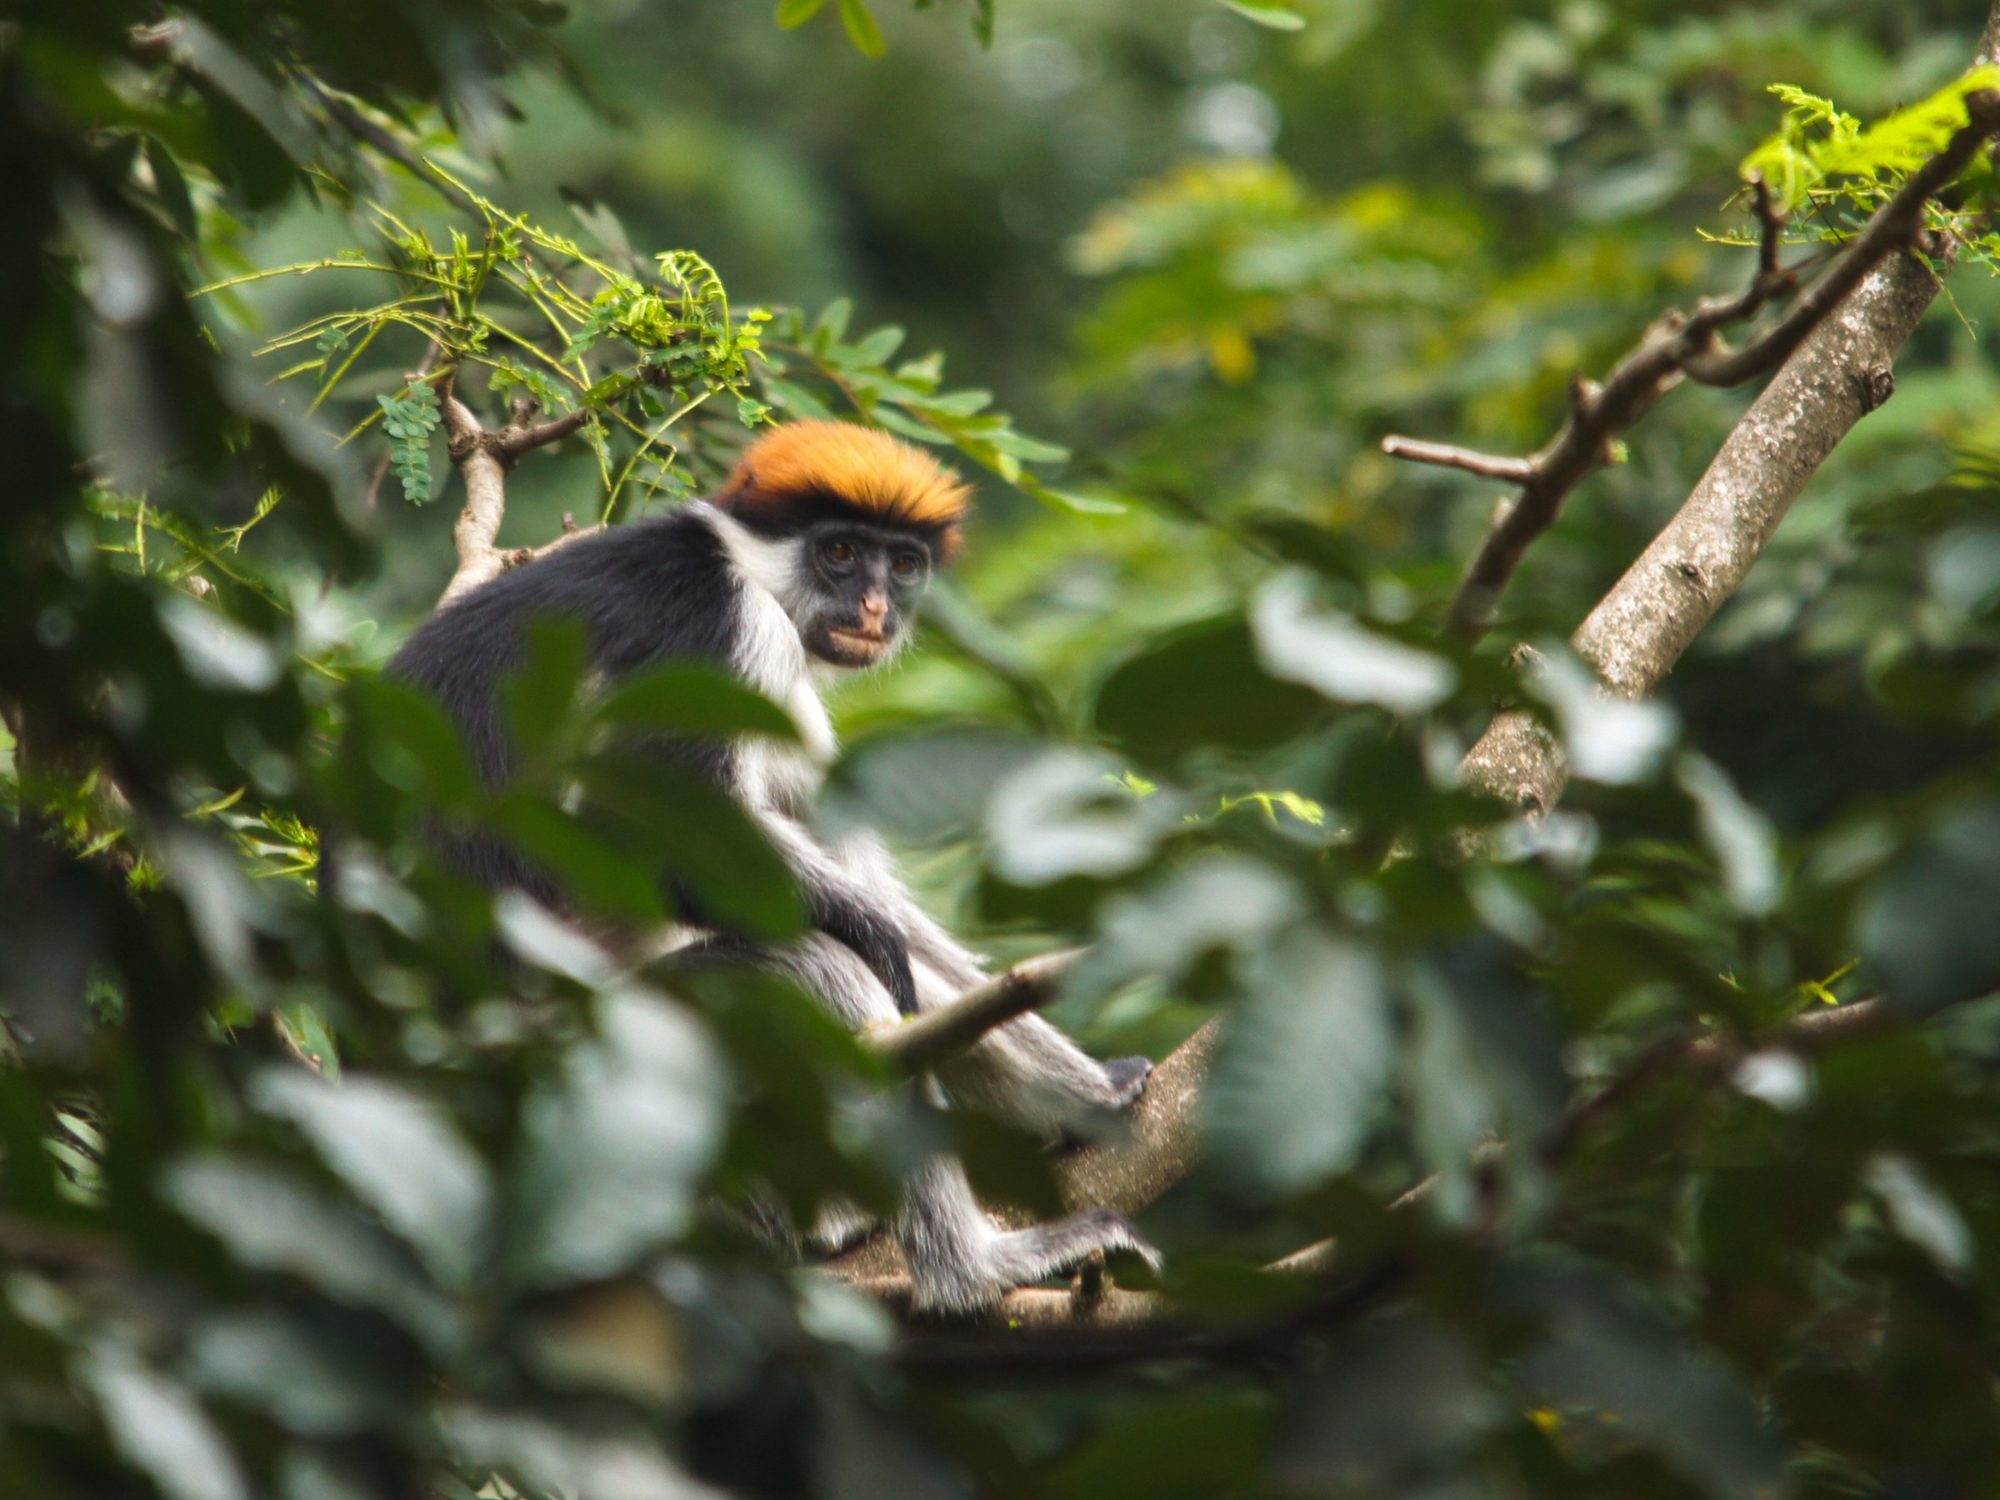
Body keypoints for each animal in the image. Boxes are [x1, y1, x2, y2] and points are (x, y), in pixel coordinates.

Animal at [384, 419, 1159, 1312]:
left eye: (902, 564)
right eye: (840, 554)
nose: (875, 608)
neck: (740, 563)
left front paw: (1094, 1087)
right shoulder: (716, 628)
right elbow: (664, 832)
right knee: (824, 964)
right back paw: (969, 1274)